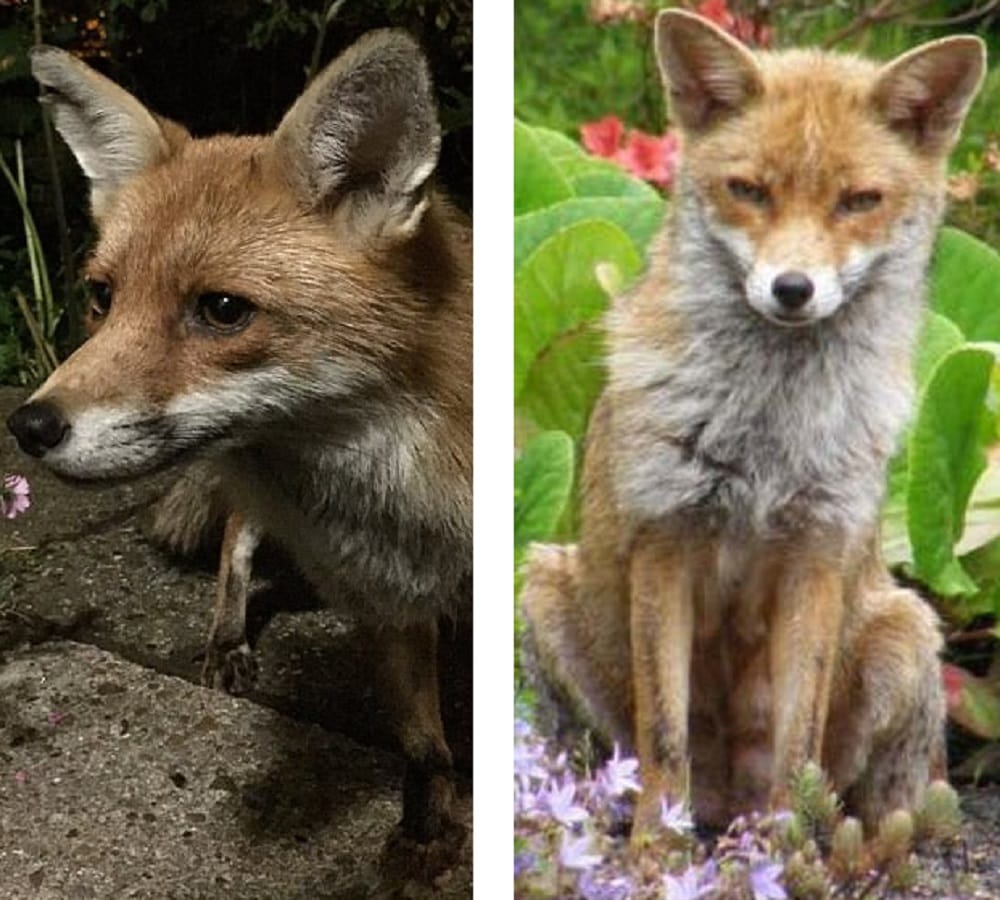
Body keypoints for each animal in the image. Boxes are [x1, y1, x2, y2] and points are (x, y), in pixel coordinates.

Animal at [6, 31, 471, 849]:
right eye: (102, 297)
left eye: (222, 310)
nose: (28, 426)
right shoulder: (389, 597)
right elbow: (423, 740)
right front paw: (427, 828)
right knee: (234, 537)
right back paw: (226, 639)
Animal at [520, 9, 985, 838]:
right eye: (749, 191)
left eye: (857, 201)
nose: (792, 288)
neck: (768, 434)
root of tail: (724, 802)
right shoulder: (664, 546)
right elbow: (664, 738)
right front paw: (655, 852)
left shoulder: (815, 558)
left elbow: (797, 749)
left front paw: (781, 847)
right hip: (541, 593)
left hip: (906, 633)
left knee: (874, 802)